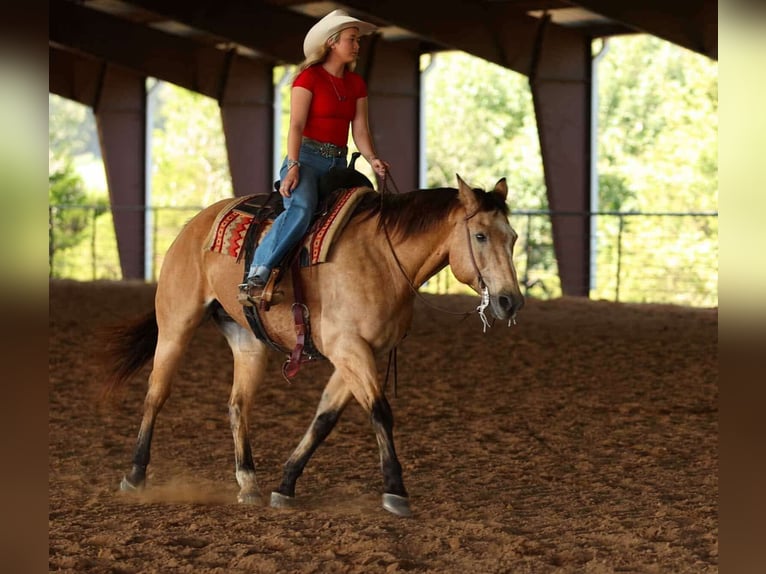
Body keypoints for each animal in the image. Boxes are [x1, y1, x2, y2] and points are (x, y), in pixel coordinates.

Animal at [103, 174, 524, 517]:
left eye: (514, 237)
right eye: (480, 235)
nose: (510, 301)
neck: (384, 261)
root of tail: (194, 225)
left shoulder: (360, 353)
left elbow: (325, 418)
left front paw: (285, 485)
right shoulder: (349, 348)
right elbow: (380, 412)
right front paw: (395, 491)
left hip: (247, 341)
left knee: (238, 405)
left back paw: (248, 483)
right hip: (176, 324)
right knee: (156, 394)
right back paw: (135, 475)